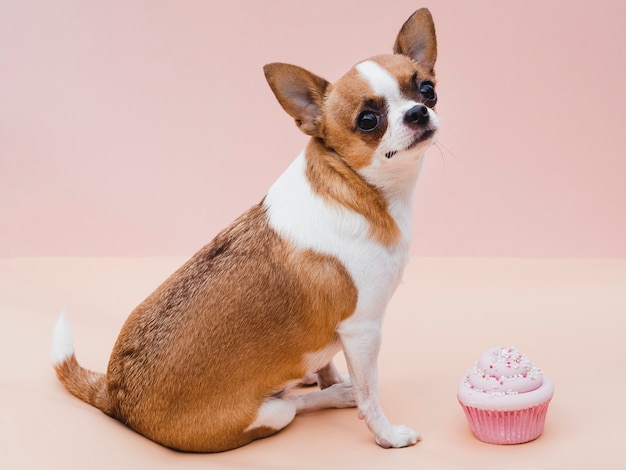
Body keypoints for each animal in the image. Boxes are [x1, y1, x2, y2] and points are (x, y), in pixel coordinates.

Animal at [50, 8, 438, 452]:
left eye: (427, 89)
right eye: (368, 120)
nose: (418, 112)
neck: (358, 187)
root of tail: (115, 397)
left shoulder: (340, 333)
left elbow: (329, 360)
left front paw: (331, 378)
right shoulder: (363, 331)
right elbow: (369, 393)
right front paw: (386, 434)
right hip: (272, 414)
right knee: (293, 405)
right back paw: (336, 395)